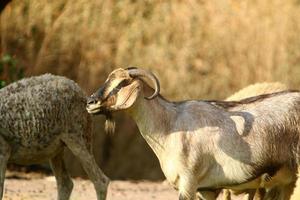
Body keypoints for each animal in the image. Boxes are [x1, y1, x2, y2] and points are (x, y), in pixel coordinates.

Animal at [86, 67, 298, 200]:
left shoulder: (188, 184)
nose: (90, 102)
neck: (170, 125)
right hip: (284, 182)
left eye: (121, 83)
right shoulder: (207, 189)